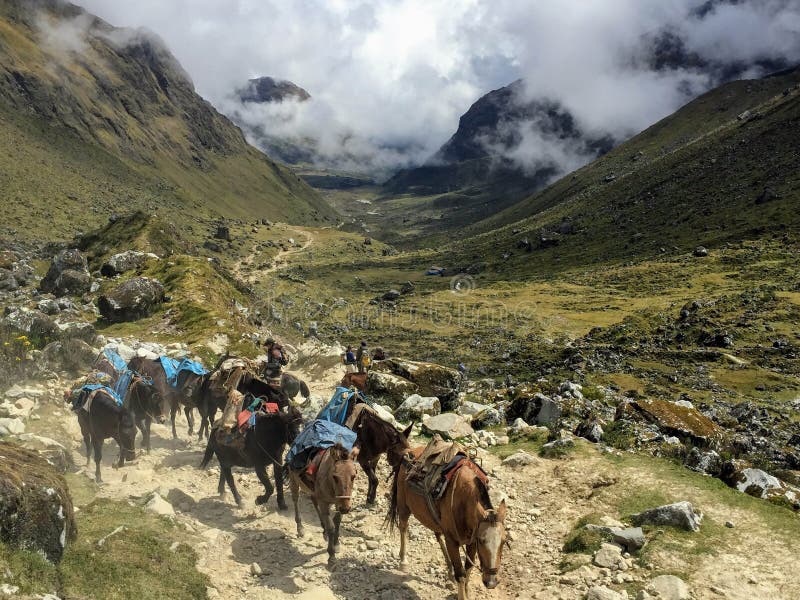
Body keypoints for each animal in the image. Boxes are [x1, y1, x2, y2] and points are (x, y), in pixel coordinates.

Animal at [386, 448, 506, 596]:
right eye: (482, 540)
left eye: (504, 541)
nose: (491, 582)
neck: (464, 500)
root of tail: (409, 451)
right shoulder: (453, 542)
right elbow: (461, 574)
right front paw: (461, 595)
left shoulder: (471, 541)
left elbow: (468, 569)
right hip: (403, 506)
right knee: (403, 527)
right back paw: (403, 561)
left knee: (438, 535)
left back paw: (449, 570)